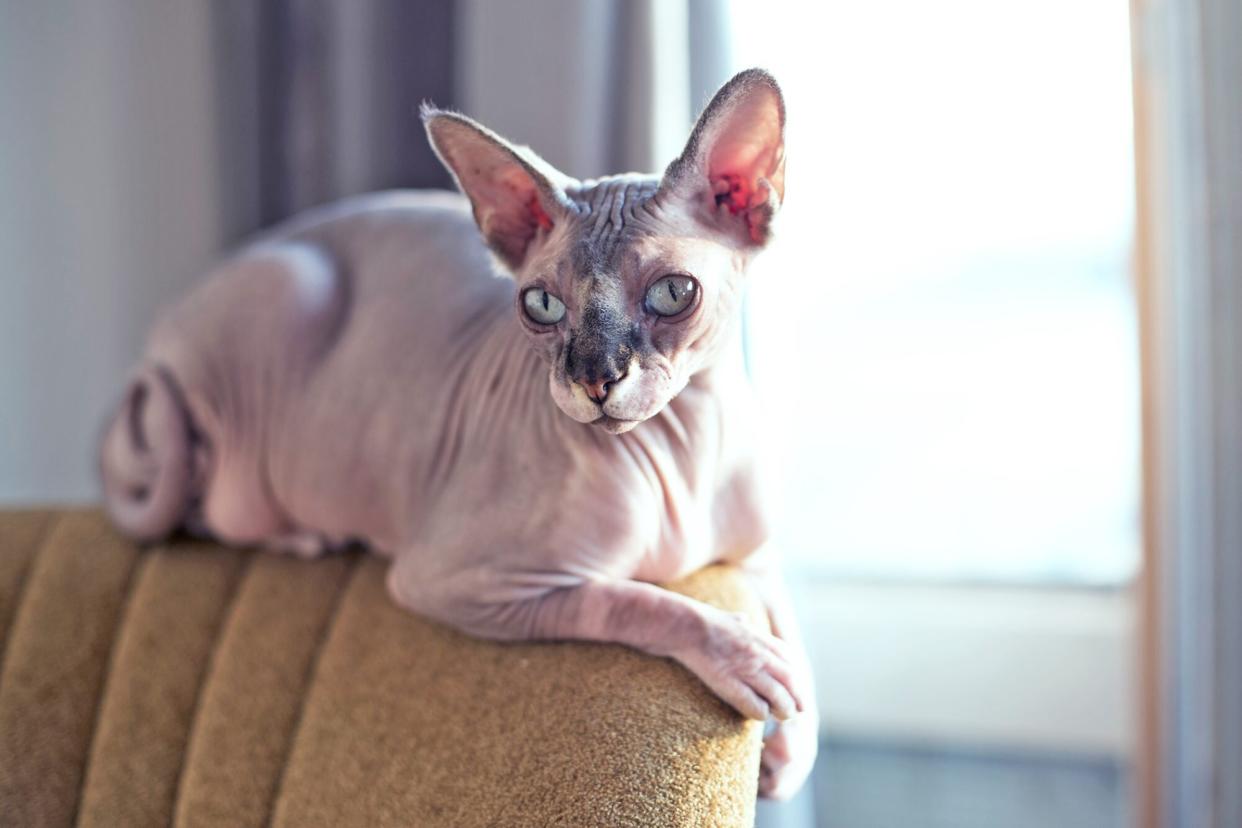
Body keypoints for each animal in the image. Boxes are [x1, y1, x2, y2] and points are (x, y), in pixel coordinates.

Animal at [96, 69, 814, 794]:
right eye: (542, 305)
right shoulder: (461, 580)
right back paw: (304, 535)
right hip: (289, 294)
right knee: (209, 508)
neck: (686, 445)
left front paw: (792, 743)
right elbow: (635, 601)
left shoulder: (756, 557)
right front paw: (745, 656)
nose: (595, 380)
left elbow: (795, 631)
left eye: (673, 293)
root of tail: (165, 324)